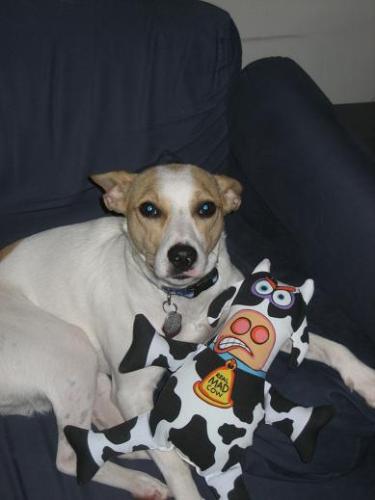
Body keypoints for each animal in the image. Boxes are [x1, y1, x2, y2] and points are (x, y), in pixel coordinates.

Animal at [0, 162, 374, 498]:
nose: (182, 256)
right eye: (149, 209)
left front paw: (367, 379)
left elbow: (334, 347)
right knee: (69, 457)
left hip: (95, 377)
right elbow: (175, 468)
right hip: (72, 349)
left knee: (105, 428)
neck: (185, 300)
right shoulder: (133, 390)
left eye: (206, 208)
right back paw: (144, 478)